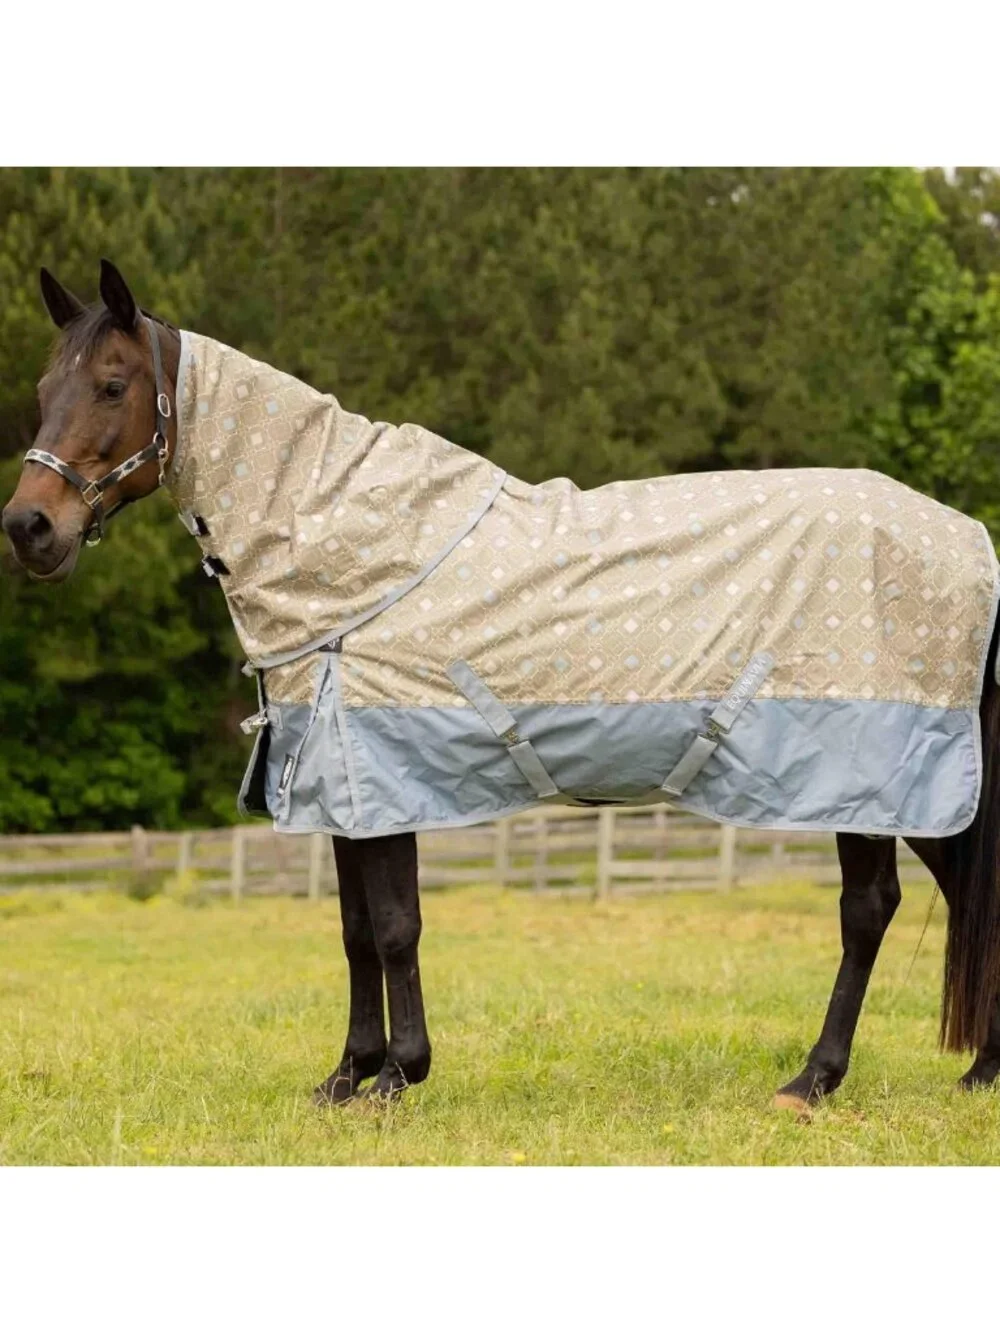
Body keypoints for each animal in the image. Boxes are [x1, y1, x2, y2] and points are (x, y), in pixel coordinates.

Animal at [5, 259, 1000, 1114]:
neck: (346, 549)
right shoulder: (340, 784)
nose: (29, 528)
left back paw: (814, 1078)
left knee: (869, 911)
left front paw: (398, 1077)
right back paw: (979, 1072)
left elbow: (396, 924)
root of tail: (966, 536)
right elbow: (355, 930)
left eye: (112, 385)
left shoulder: (382, 774)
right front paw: (346, 1076)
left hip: (867, 779)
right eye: (45, 393)